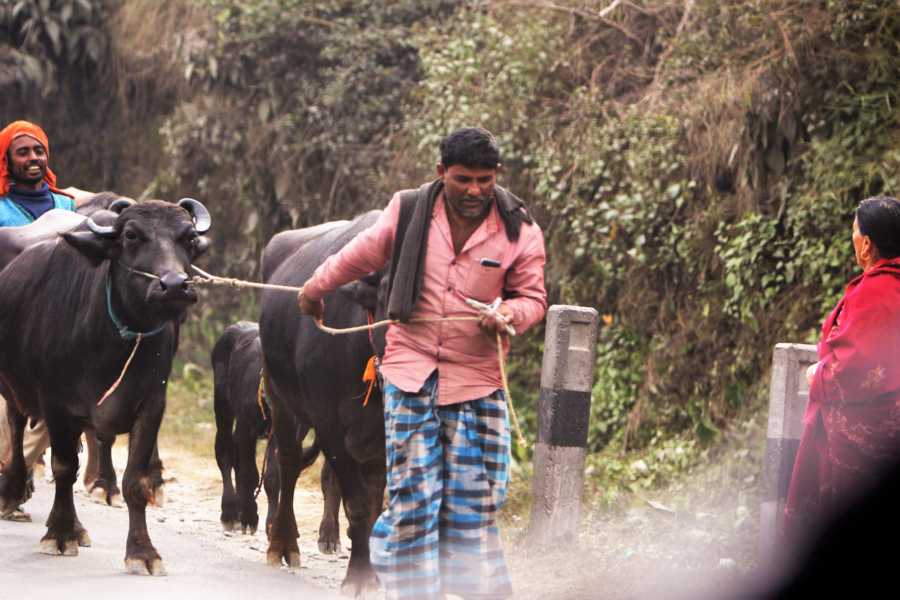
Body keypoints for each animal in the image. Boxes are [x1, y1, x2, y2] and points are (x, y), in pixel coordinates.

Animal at [0, 197, 211, 572]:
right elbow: (64, 467)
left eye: (188, 238)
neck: (115, 340)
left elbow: (135, 481)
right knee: (15, 423)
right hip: (16, 388)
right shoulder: (56, 405)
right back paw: (13, 492)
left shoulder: (150, 405)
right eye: (131, 235)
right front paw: (60, 534)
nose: (174, 284)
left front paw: (142, 552)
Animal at [258, 210, 388, 592]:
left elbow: (373, 506)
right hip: (281, 400)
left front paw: (372, 574)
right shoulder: (328, 424)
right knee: (285, 467)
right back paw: (283, 543)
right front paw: (358, 577)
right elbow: (357, 503)